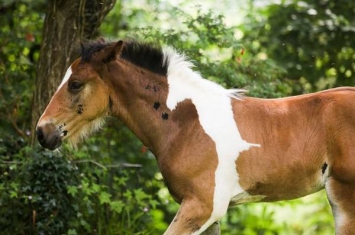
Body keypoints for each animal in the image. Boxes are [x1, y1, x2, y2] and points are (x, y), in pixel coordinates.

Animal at [36, 39, 355, 234]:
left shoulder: (203, 206)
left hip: (343, 195)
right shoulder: (209, 212)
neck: (185, 124)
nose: (42, 132)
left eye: (76, 84)